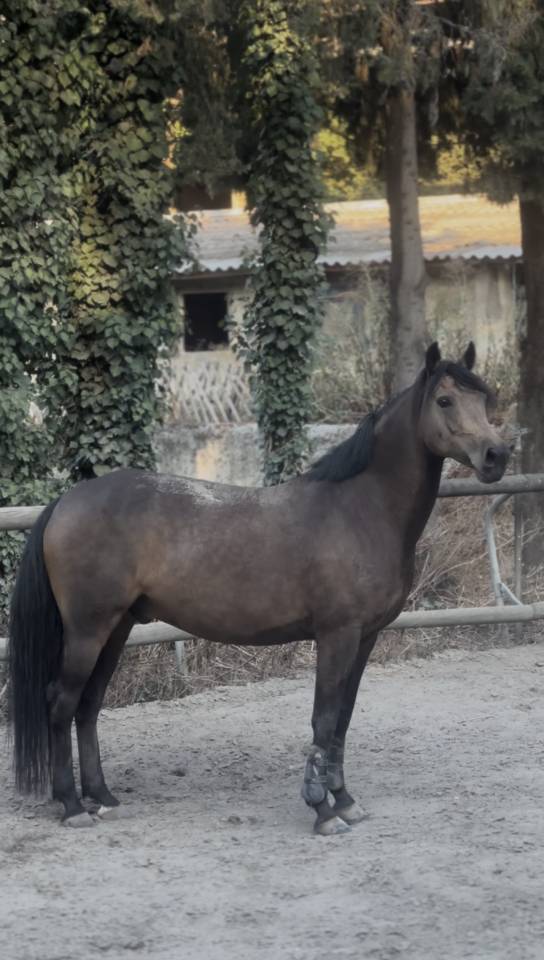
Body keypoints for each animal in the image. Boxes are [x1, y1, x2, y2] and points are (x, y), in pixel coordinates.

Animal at [8, 342, 509, 835]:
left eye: (483, 398)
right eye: (444, 400)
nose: (496, 456)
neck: (359, 508)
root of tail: (67, 501)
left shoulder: (365, 638)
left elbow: (342, 721)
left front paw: (345, 801)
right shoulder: (337, 635)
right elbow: (324, 719)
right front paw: (322, 809)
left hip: (116, 629)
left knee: (88, 706)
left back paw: (103, 797)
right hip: (87, 631)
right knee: (61, 703)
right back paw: (72, 805)